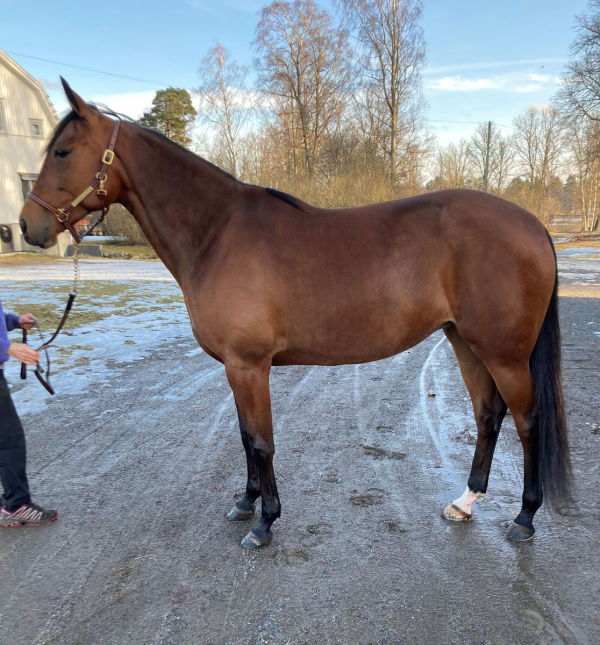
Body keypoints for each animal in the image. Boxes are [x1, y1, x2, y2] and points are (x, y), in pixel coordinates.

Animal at [19, 80, 572, 549]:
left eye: (63, 152)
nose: (28, 226)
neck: (217, 234)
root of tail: (533, 225)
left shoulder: (249, 365)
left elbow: (261, 441)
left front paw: (265, 522)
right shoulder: (235, 367)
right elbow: (244, 436)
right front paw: (246, 503)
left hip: (503, 353)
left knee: (528, 420)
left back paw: (524, 517)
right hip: (463, 340)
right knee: (488, 415)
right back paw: (465, 502)